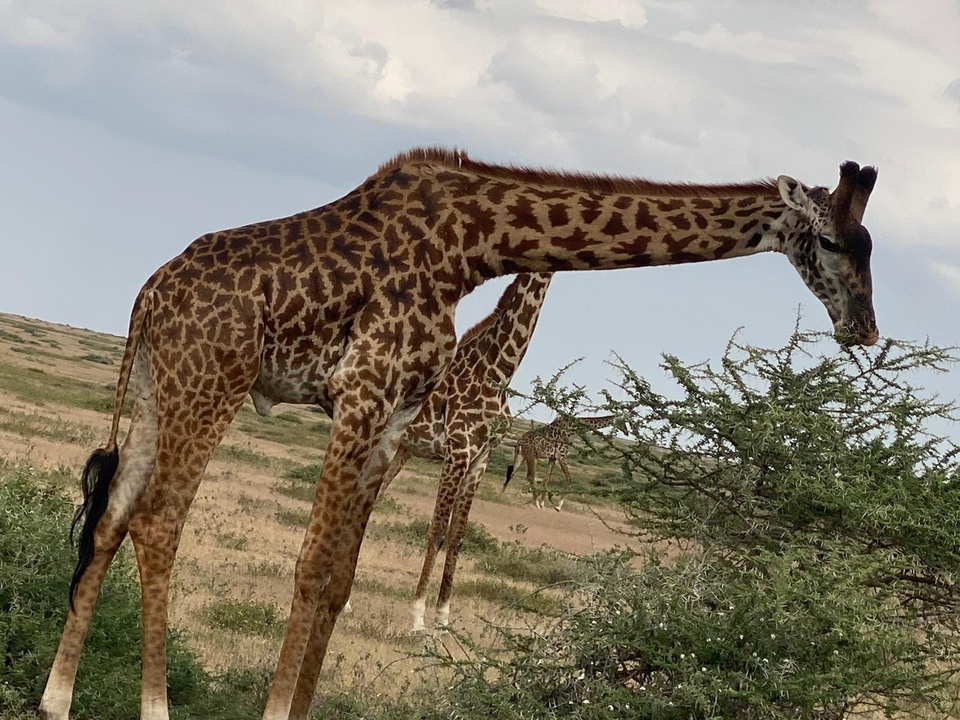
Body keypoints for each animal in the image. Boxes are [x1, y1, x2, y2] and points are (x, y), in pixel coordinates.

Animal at [40, 148, 879, 720]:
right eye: (834, 243)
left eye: (870, 247)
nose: (866, 329)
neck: (474, 244)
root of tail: (148, 296)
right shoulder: (364, 395)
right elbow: (313, 570)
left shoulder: (393, 419)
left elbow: (341, 577)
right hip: (211, 383)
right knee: (158, 522)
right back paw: (154, 706)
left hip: (158, 390)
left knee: (112, 516)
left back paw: (57, 697)